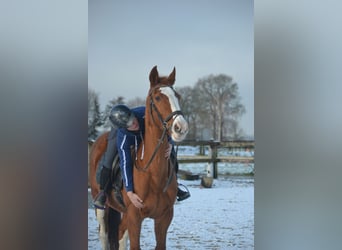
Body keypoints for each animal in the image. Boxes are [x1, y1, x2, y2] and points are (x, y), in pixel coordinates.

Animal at [89, 65, 190, 249]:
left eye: (177, 96)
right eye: (157, 97)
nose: (181, 127)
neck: (153, 175)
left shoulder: (164, 218)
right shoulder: (135, 217)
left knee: (121, 234)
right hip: (101, 208)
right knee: (104, 235)